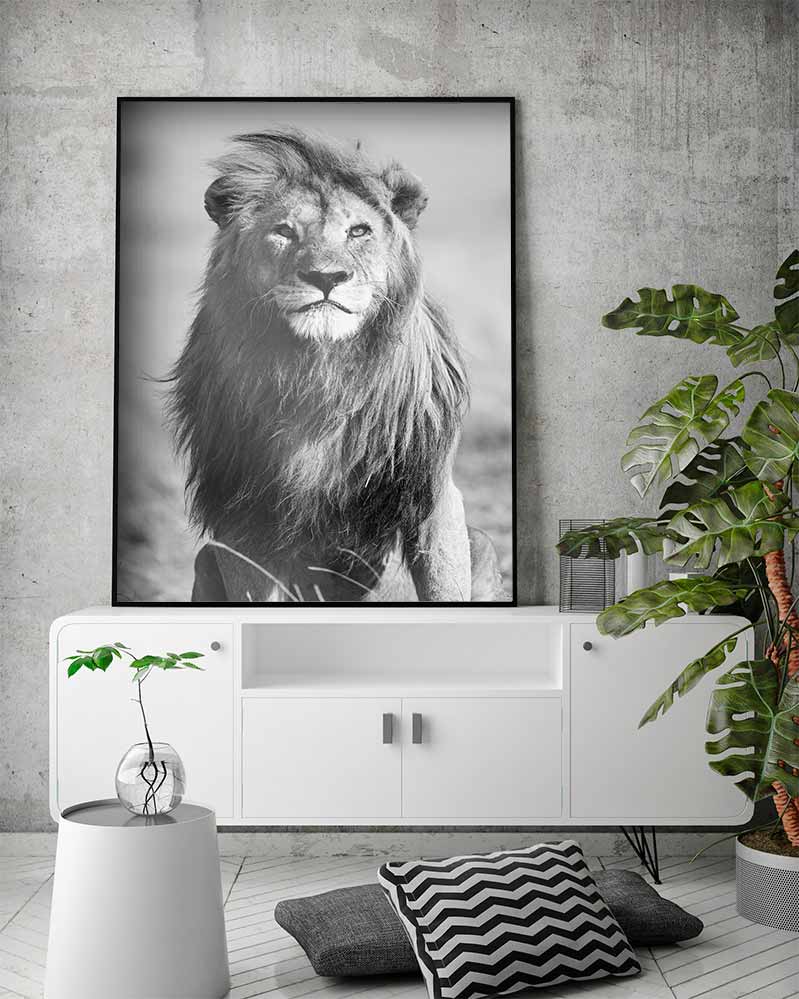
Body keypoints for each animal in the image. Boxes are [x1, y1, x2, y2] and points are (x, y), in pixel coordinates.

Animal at [169, 127, 506, 602]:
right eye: (284, 232)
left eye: (359, 231)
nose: (326, 277)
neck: (320, 372)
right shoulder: (241, 513)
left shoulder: (431, 495)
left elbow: (444, 588)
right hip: (205, 558)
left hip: (484, 541)